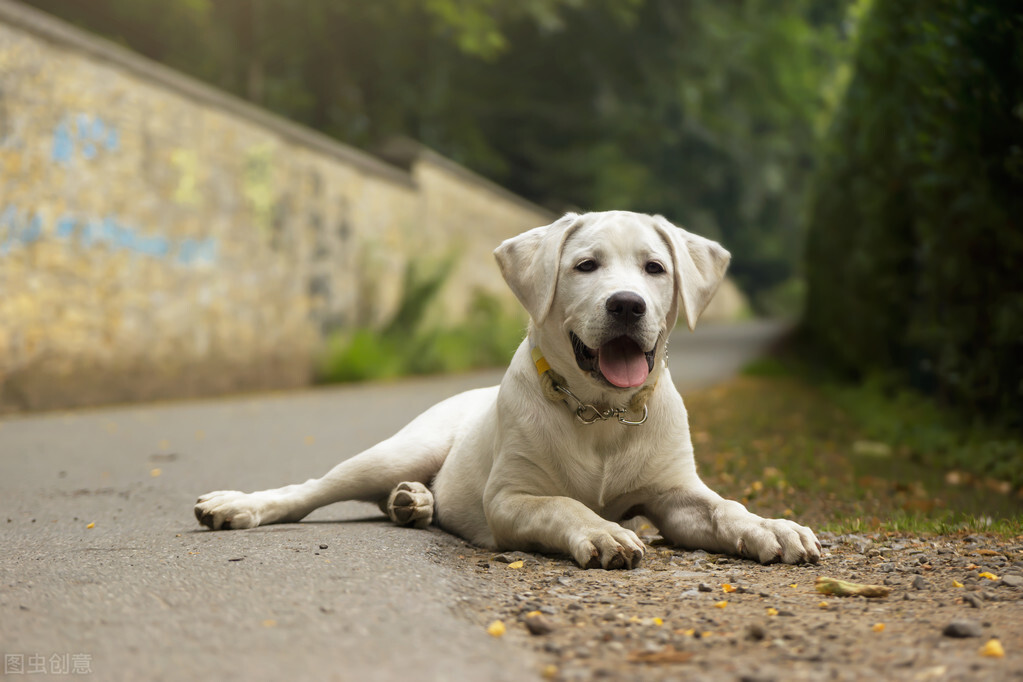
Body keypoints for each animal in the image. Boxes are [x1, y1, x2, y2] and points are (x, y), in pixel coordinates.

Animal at [193, 210, 822, 568]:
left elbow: (724, 507)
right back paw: (236, 506)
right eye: (586, 266)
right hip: (400, 449)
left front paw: (772, 526)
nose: (627, 305)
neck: (601, 414)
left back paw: (414, 502)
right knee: (310, 489)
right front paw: (604, 531)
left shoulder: (675, 493)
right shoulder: (511, 499)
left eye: (655, 268)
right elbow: (564, 504)